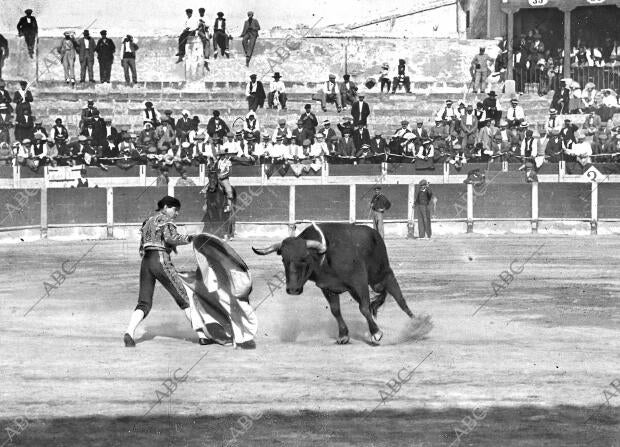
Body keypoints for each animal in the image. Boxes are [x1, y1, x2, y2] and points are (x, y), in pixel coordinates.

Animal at [254, 222, 414, 344]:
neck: (325, 257)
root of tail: (375, 234)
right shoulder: (327, 287)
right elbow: (335, 310)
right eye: (283, 259)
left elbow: (363, 308)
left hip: (381, 275)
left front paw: (376, 333)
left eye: (305, 257)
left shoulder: (359, 282)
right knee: (380, 297)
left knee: (399, 298)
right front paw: (343, 335)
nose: (293, 289)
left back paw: (415, 322)